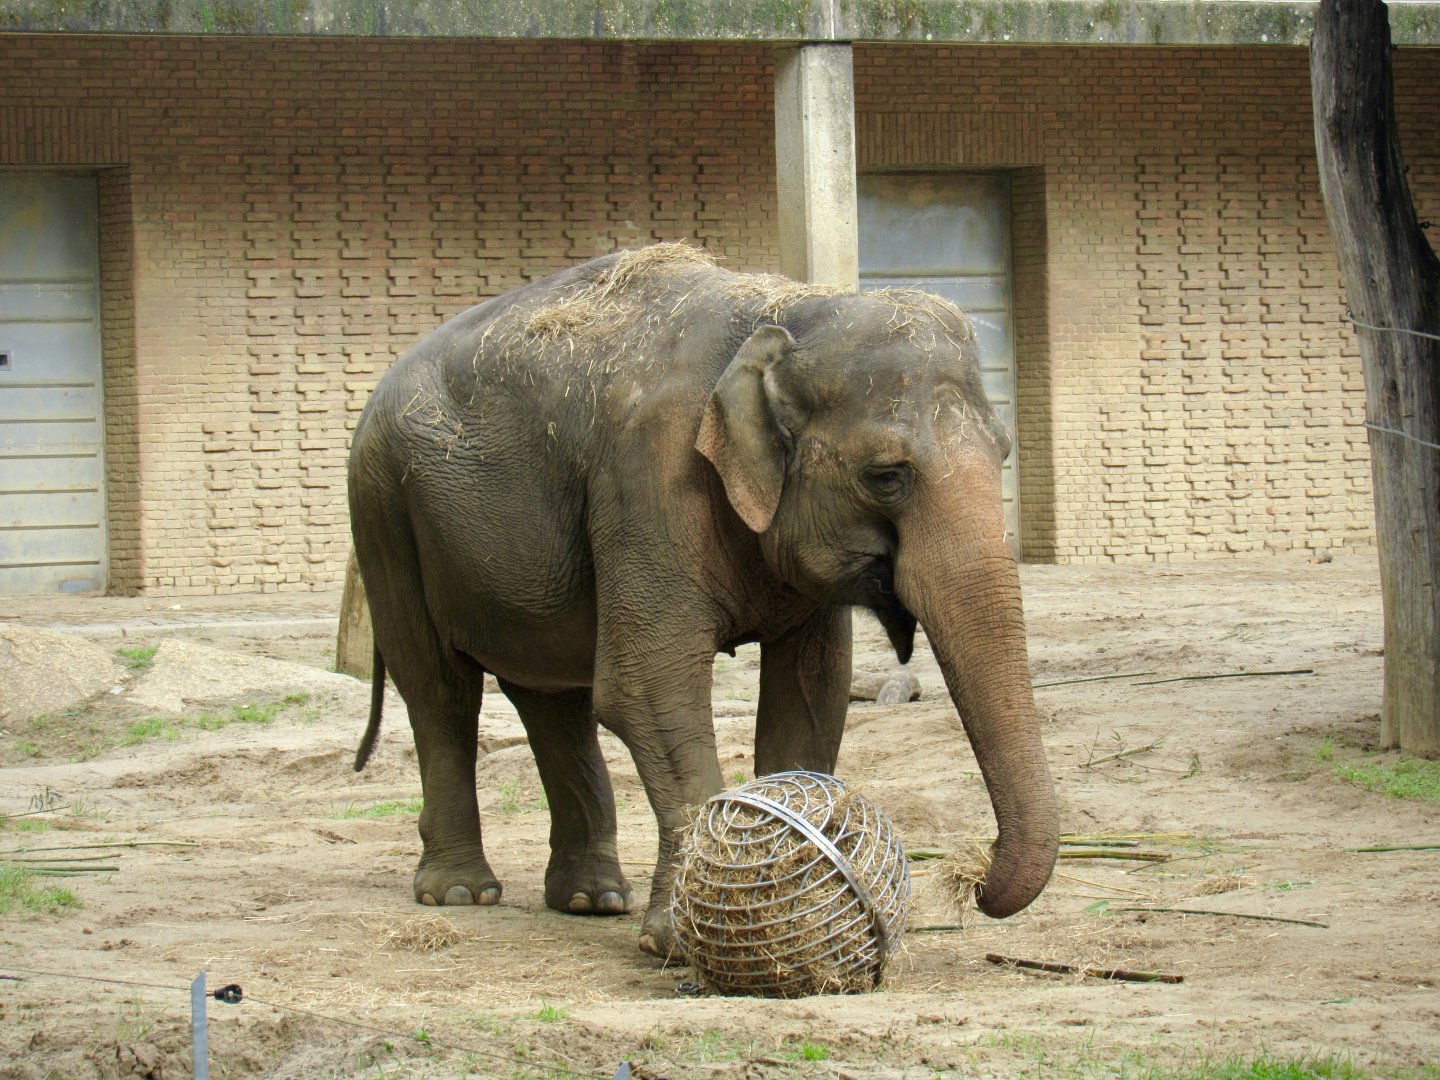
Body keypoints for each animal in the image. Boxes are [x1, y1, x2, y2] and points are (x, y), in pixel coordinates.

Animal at [347, 243, 1058, 958]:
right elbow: (646, 688)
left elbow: (812, 692)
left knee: (553, 699)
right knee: (441, 691)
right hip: (382, 511)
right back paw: (461, 893)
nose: (977, 882)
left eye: (1003, 452)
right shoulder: (648, 479)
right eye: (886, 475)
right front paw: (682, 941)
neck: (785, 313)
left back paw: (591, 900)